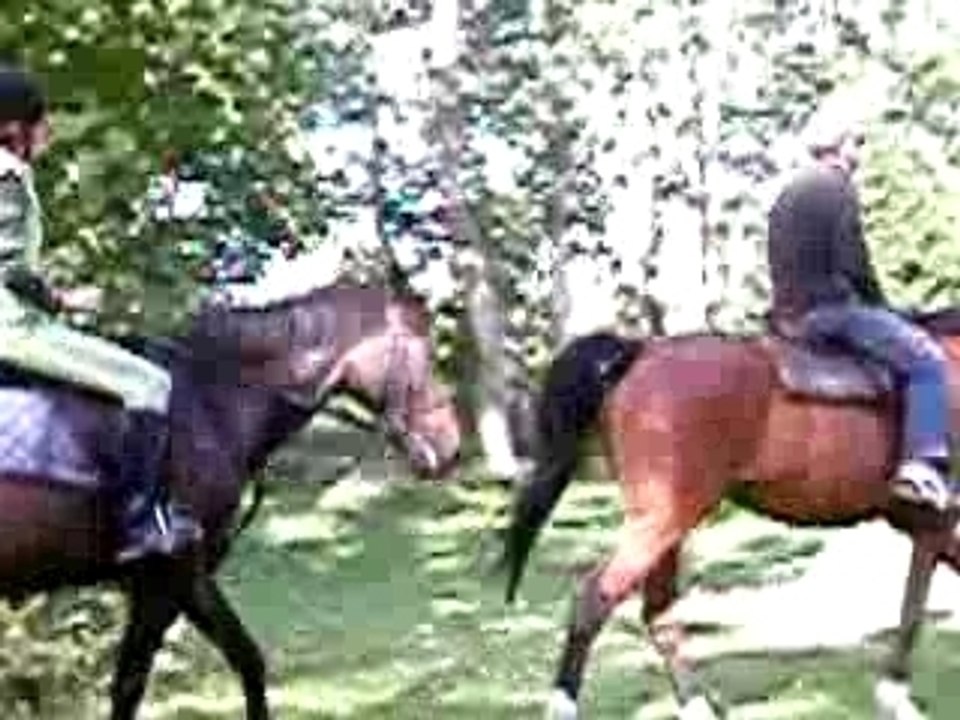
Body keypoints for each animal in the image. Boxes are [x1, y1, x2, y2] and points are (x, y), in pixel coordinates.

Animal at [0, 281, 461, 719]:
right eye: (422, 351)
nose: (451, 446)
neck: (210, 400)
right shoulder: (169, 577)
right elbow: (130, 687)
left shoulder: (188, 579)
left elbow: (247, 662)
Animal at [500, 308, 960, 720]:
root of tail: (640, 353)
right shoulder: (938, 526)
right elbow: (913, 612)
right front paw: (897, 701)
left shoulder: (929, 527)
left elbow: (914, 605)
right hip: (662, 518)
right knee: (596, 599)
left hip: (666, 522)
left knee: (656, 612)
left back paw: (698, 708)